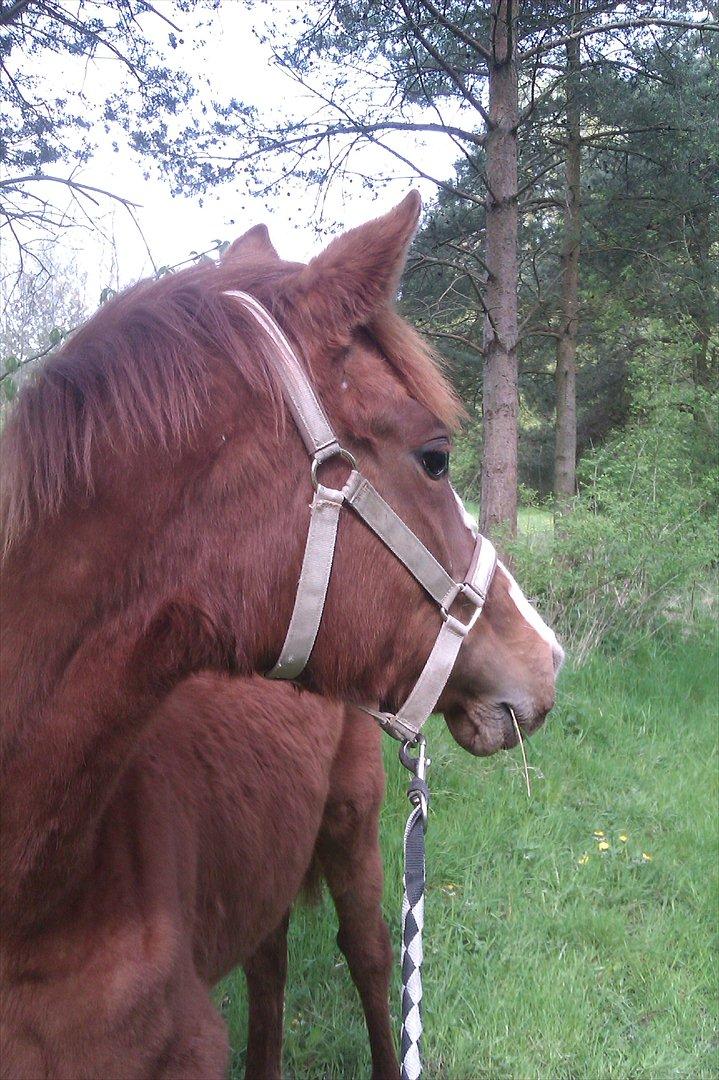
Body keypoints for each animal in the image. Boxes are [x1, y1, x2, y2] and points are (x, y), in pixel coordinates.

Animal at [0, 198, 561, 1075]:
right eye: (435, 458)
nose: (547, 660)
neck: (31, 897)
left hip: (354, 833)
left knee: (370, 956)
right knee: (270, 963)